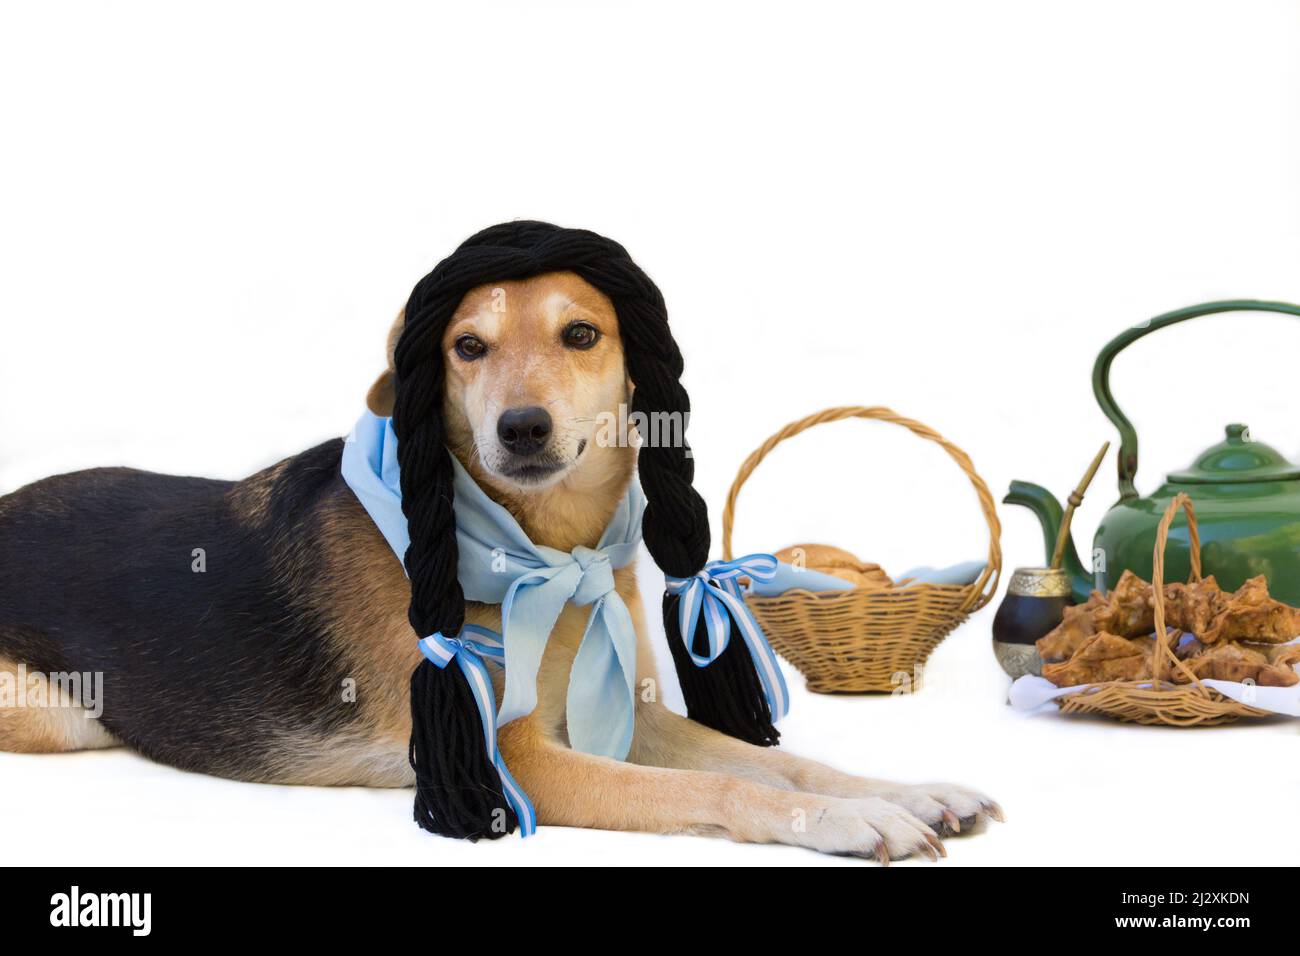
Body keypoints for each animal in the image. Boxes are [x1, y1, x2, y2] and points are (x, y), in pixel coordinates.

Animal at [0, 267, 998, 858]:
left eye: (581, 335)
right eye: (466, 347)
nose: (521, 429)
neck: (549, 549)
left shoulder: (625, 714)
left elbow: (787, 763)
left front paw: (904, 793)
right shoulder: (514, 757)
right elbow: (721, 783)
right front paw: (845, 822)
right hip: (66, 716)